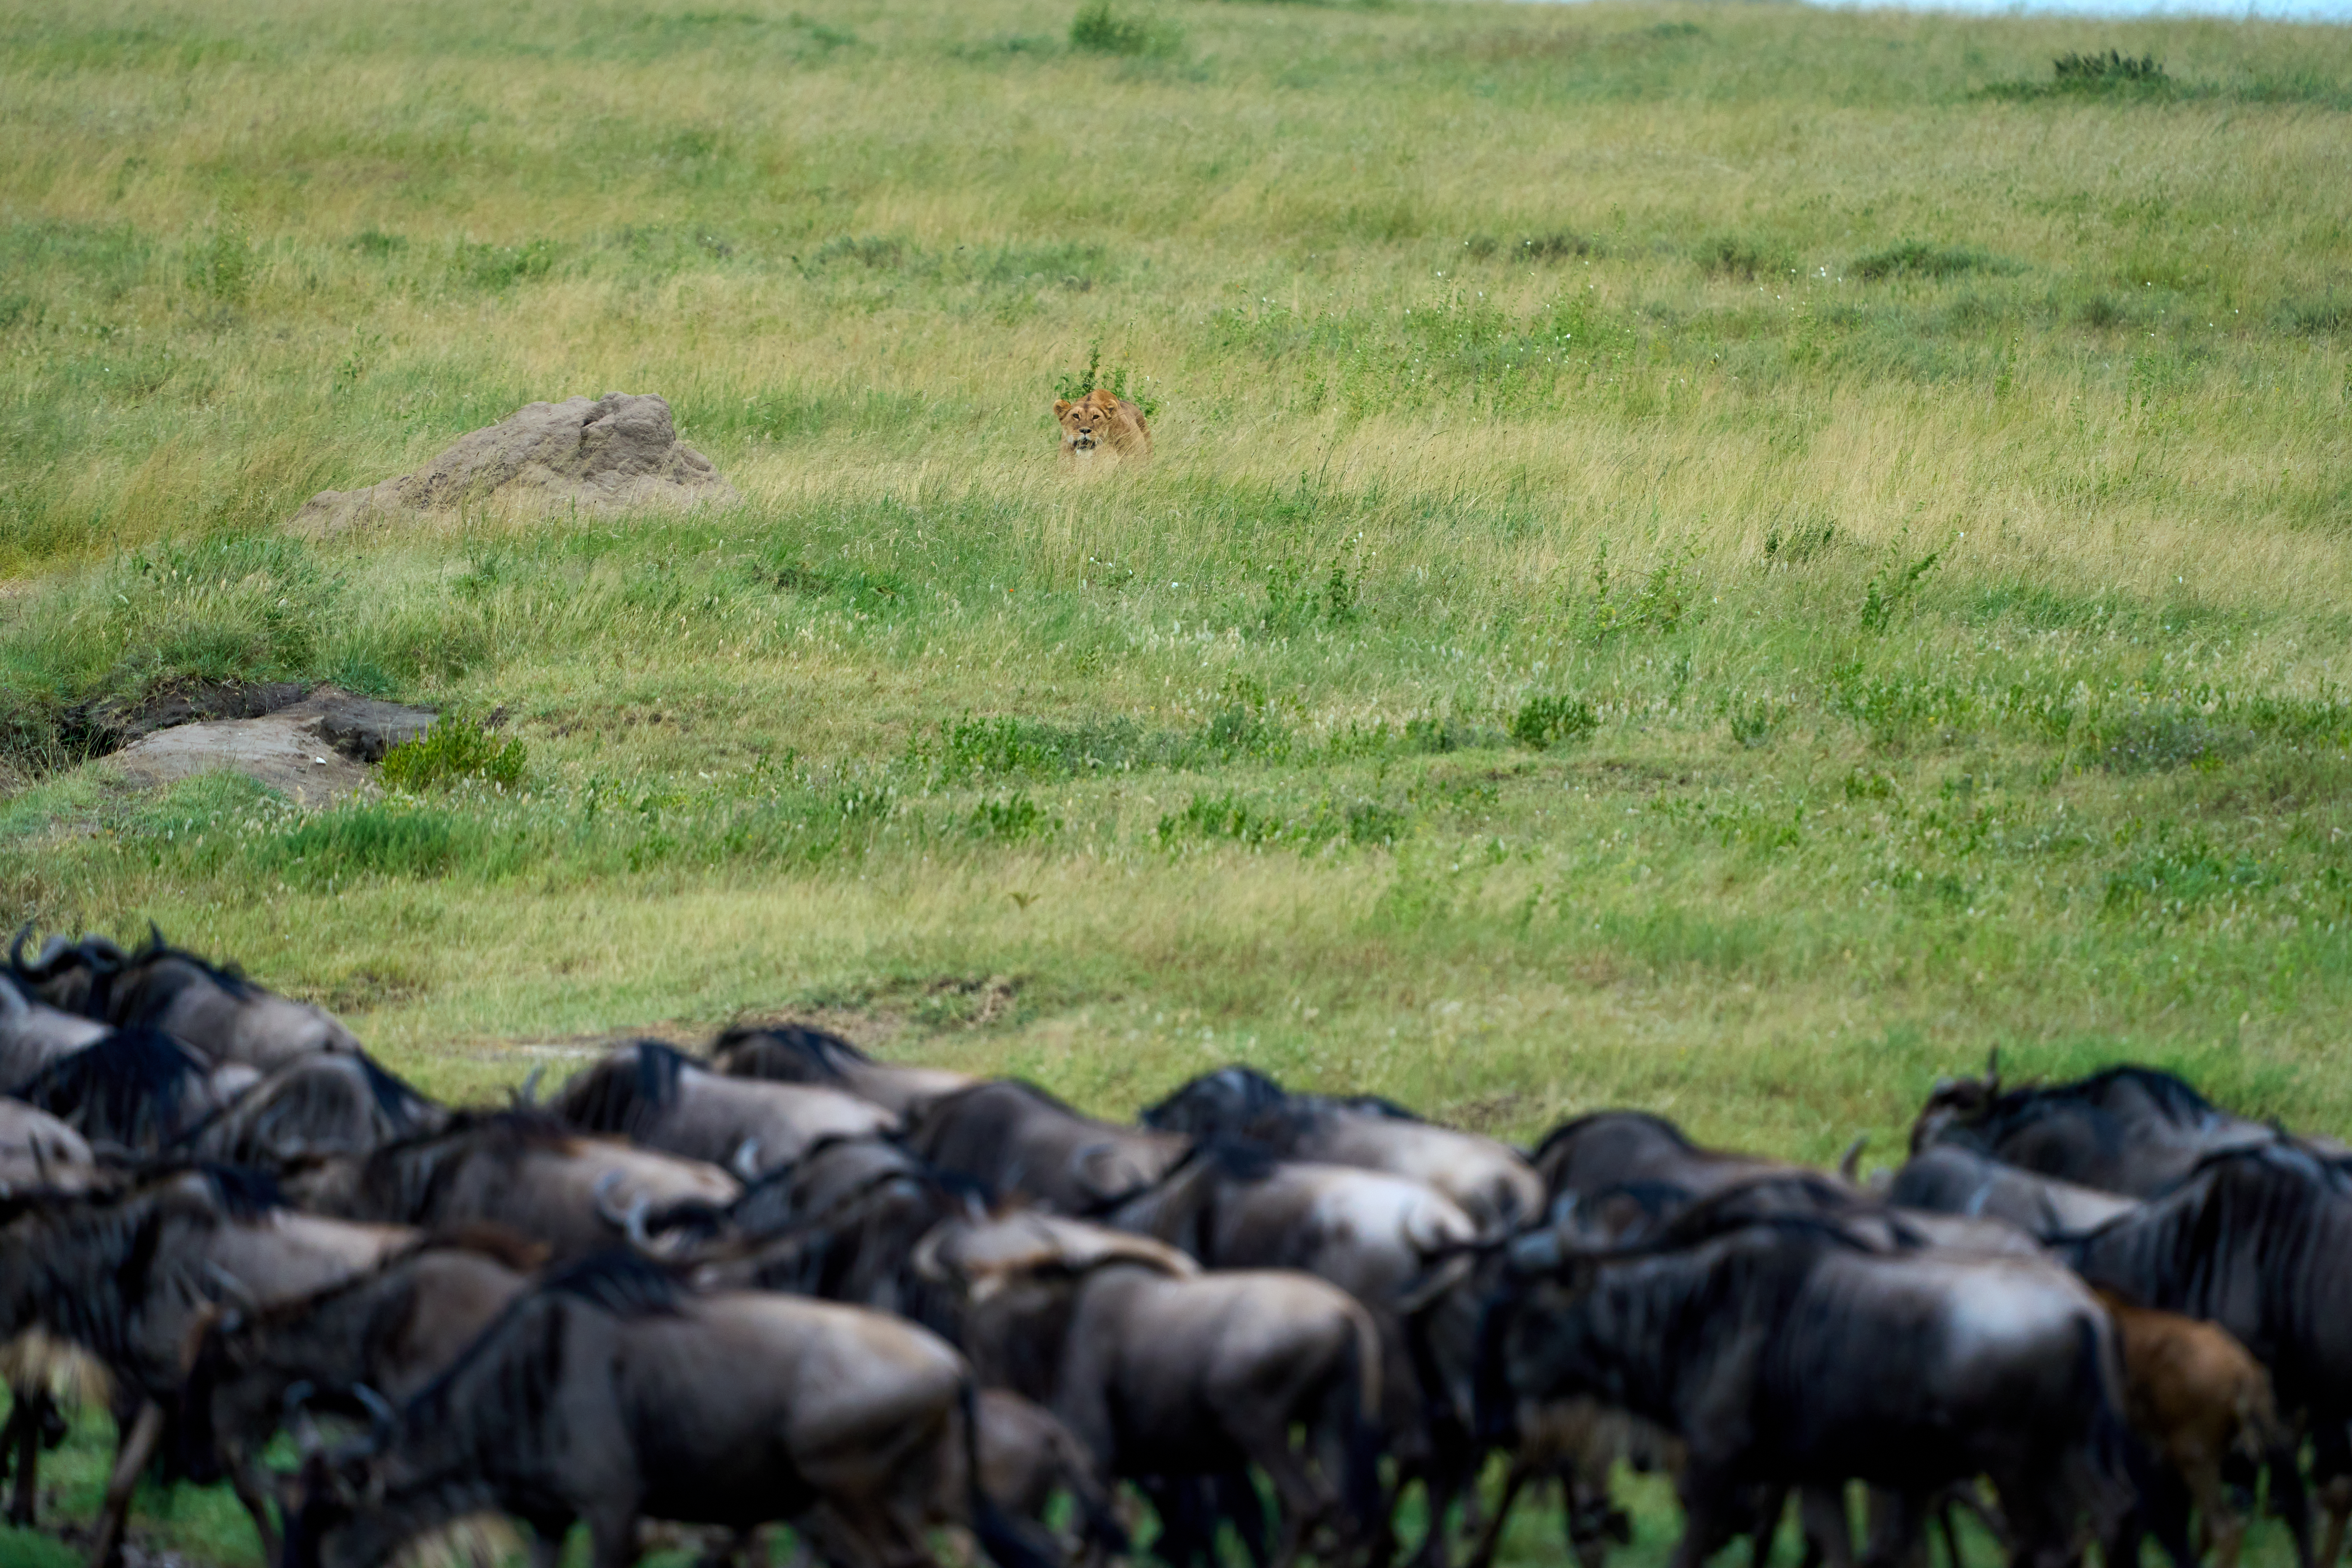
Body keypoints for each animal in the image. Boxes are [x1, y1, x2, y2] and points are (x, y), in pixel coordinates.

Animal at [277, 1250, 1059, 1568]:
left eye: (333, 1513)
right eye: (292, 1509)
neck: (525, 1375)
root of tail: (951, 1367)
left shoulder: (614, 1510)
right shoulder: (549, 1520)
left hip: (852, 1494)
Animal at [916, 1210, 1385, 1568]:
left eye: (992, 1307)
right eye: (971, 1305)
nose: (976, 1369)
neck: (1064, 1319)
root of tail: (1347, 1312)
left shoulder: (1094, 1452)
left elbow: (1082, 1538)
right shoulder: (1122, 1467)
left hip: (1259, 1426)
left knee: (1308, 1507)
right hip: (1328, 1425)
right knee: (1346, 1517)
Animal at [1494, 1212, 2135, 1568]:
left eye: (1535, 1315)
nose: (1497, 1417)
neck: (1700, 1310)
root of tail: (2083, 1310)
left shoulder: (1717, 1460)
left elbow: (1688, 1552)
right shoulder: (1816, 1471)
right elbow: (1840, 1550)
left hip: (2015, 1464)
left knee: (2044, 1547)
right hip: (2069, 1459)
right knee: (2108, 1518)